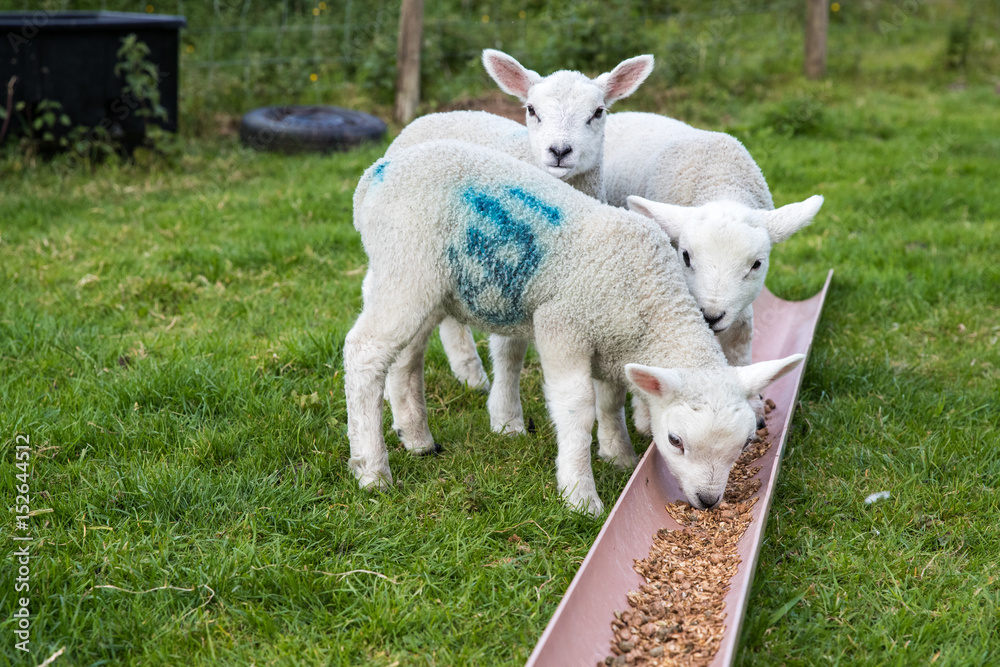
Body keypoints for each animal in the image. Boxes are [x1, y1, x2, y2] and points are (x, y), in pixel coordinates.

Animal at [344, 140, 804, 516]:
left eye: (744, 444)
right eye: (675, 441)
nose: (708, 501)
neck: (652, 300)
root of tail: (375, 173)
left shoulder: (612, 343)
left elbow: (611, 399)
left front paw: (617, 453)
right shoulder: (563, 326)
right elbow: (577, 408)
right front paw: (580, 494)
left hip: (425, 285)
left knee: (406, 356)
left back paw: (417, 437)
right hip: (407, 266)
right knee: (364, 352)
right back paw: (372, 471)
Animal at [382, 50, 654, 393]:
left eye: (598, 112)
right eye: (531, 109)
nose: (560, 151)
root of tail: (431, 116)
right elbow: (509, 349)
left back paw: (470, 373)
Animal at [602, 112, 823, 431]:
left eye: (756, 264)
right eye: (685, 256)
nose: (711, 316)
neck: (720, 181)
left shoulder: (740, 307)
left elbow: (740, 339)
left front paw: (753, 405)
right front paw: (644, 416)